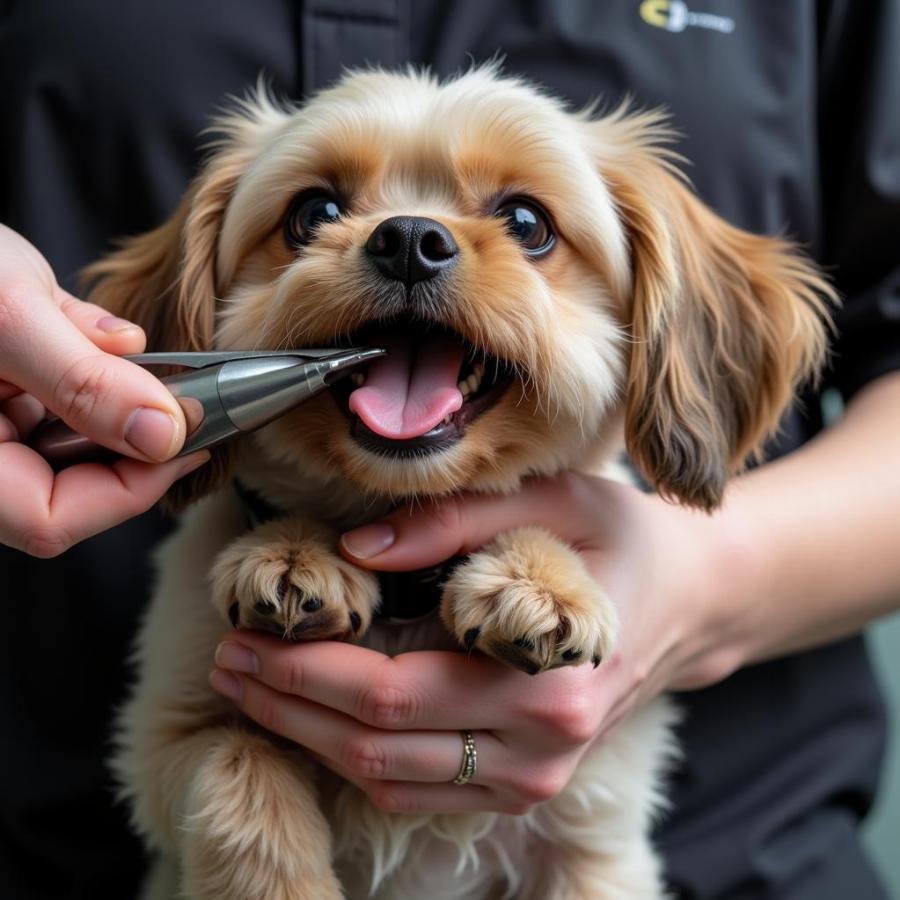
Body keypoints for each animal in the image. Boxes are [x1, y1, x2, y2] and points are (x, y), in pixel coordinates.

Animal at [88, 68, 832, 900]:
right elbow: (240, 770)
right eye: (314, 213)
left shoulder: (594, 831)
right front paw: (293, 552)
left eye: (527, 222)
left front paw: (536, 581)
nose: (409, 238)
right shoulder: (163, 739)